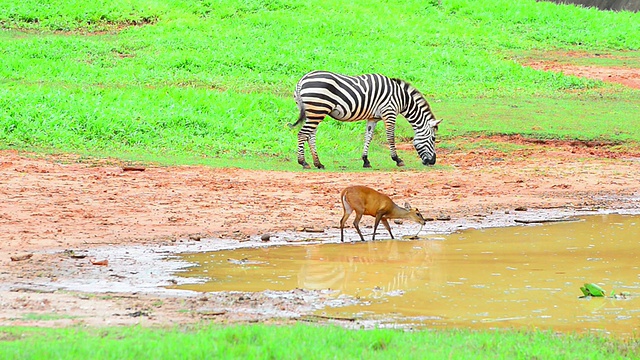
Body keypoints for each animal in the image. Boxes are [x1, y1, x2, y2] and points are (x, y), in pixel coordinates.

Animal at [288, 72, 440, 171]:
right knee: (302, 134)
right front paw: (397, 159)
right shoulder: (389, 112)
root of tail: (302, 80)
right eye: (433, 139)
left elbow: (369, 137)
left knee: (310, 136)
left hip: (314, 112)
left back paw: (318, 163)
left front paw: (366, 160)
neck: (402, 98)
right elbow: (390, 137)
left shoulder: (373, 117)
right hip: (317, 109)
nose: (432, 162)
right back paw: (303, 162)